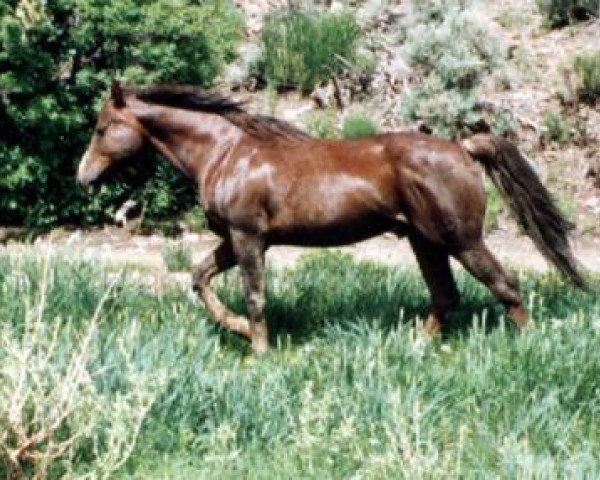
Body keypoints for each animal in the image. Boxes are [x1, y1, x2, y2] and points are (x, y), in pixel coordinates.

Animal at [75, 81, 584, 352]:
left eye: (103, 128)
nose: (82, 177)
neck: (226, 154)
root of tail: (462, 148)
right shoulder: (233, 240)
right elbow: (200, 279)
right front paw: (236, 329)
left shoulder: (247, 238)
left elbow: (255, 297)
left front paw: (258, 350)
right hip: (425, 241)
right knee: (446, 296)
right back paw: (417, 348)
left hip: (463, 240)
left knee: (505, 286)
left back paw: (531, 346)